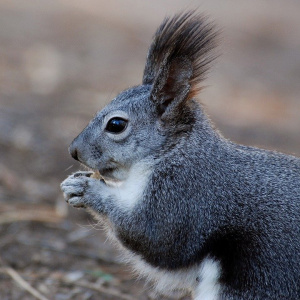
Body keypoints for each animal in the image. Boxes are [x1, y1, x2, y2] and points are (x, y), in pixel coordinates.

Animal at [61, 11, 300, 300]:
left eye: (116, 125)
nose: (74, 151)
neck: (175, 152)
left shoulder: (185, 196)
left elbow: (155, 237)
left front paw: (86, 189)